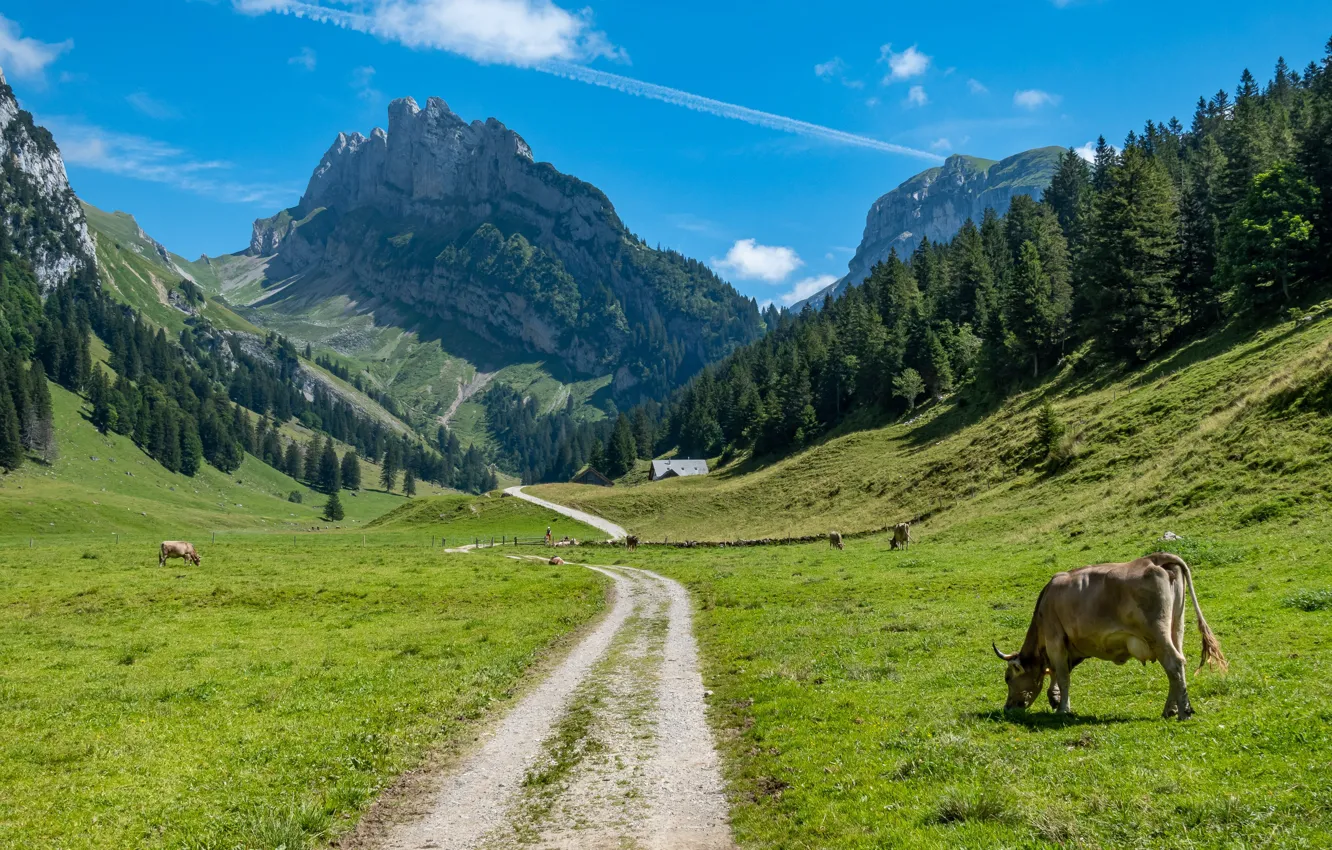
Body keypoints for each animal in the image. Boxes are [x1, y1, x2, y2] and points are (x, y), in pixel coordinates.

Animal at [992, 552, 1227, 720]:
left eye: (1007, 678)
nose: (1007, 708)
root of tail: (1154, 558)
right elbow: (1058, 672)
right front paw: (1055, 698)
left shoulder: (1055, 638)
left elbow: (1063, 675)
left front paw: (1063, 708)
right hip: (1175, 627)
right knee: (1177, 667)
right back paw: (1172, 709)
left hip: (1157, 633)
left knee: (1174, 663)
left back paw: (1183, 712)